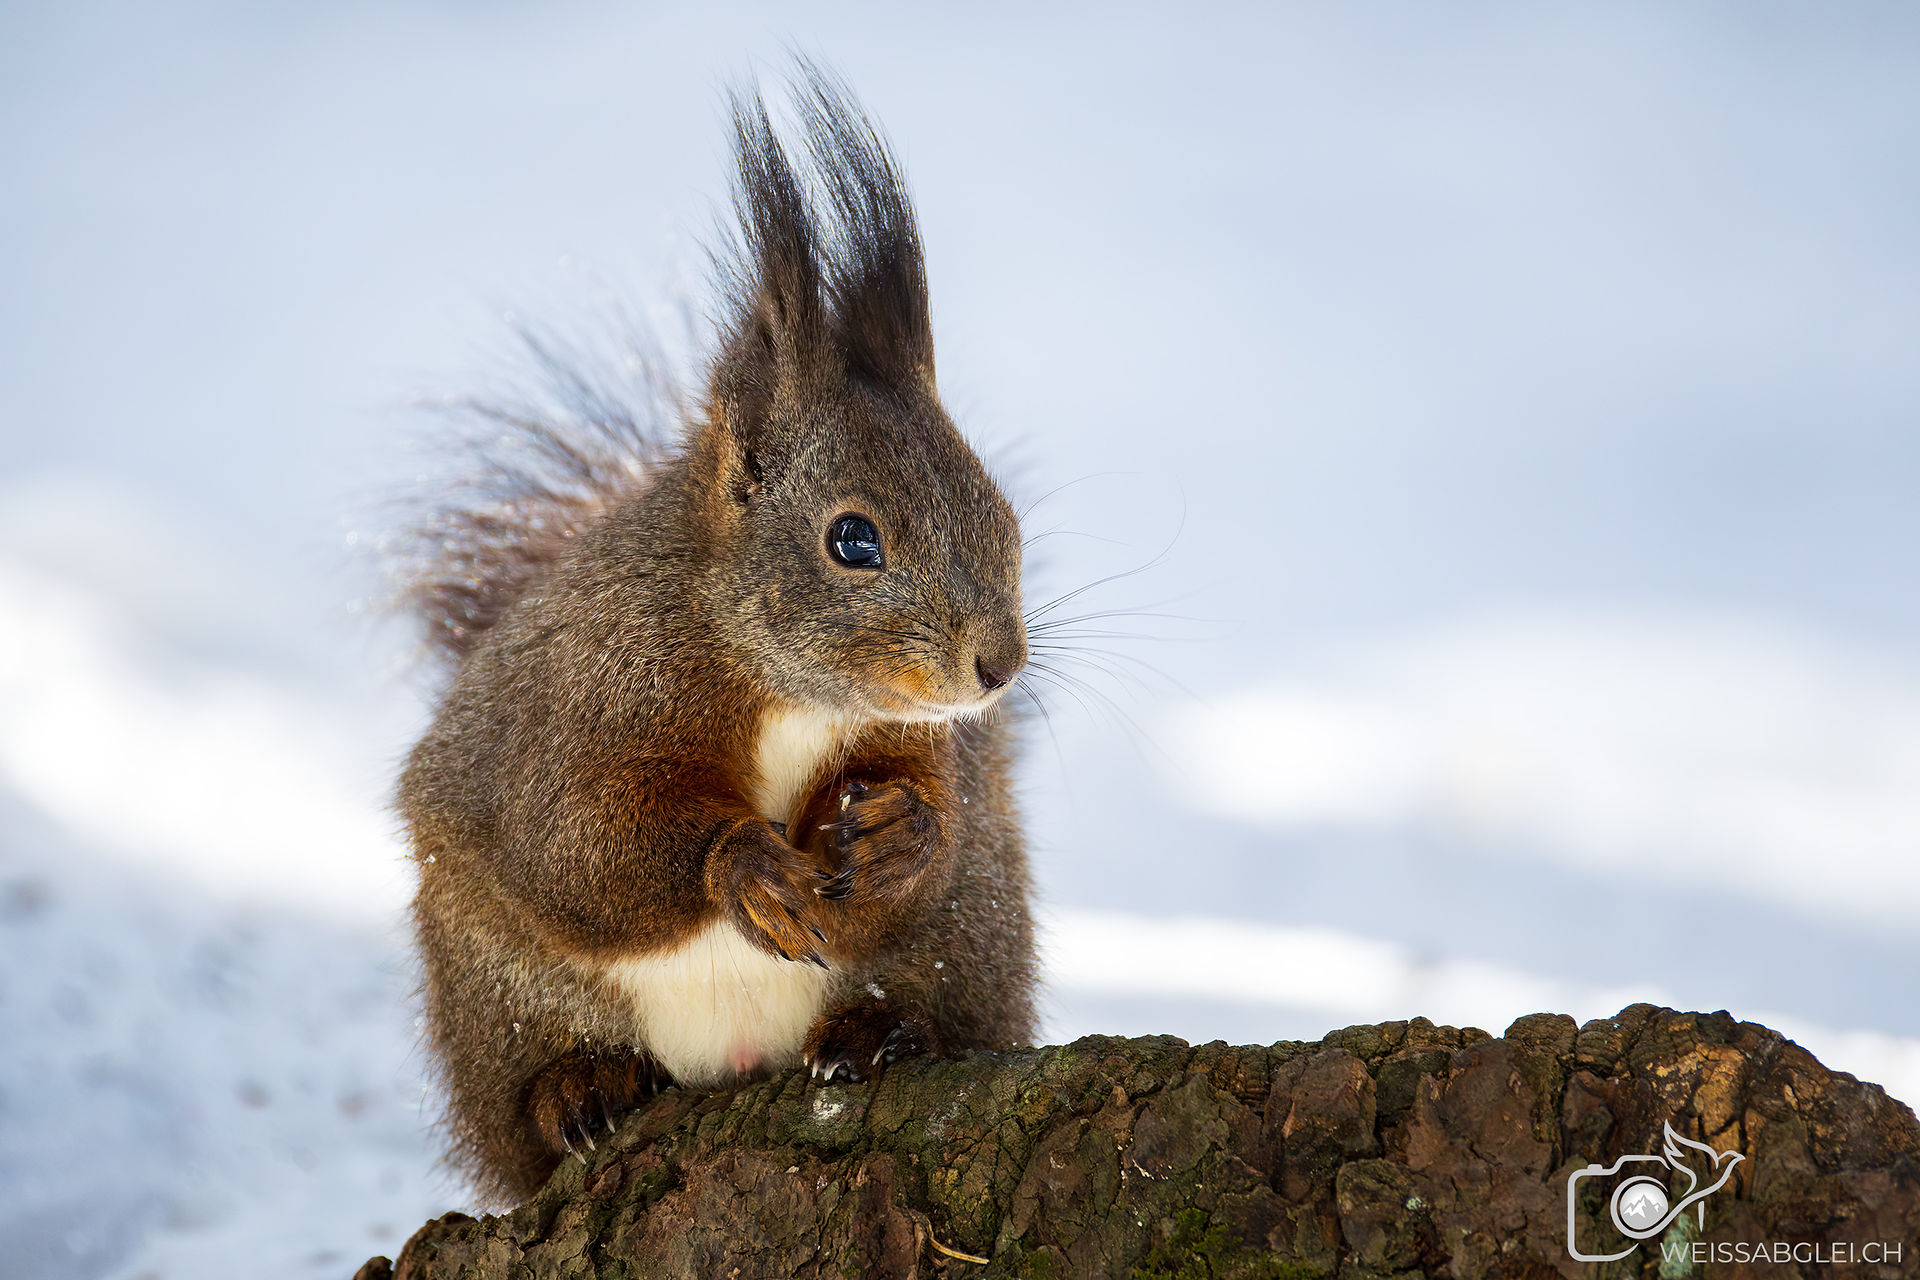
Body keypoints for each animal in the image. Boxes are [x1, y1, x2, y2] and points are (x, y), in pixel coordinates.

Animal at [390, 72, 1038, 1205]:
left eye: (1000, 511)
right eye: (853, 538)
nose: (999, 665)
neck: (788, 689)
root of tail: (735, 1061)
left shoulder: (924, 742)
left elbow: (934, 808)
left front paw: (901, 831)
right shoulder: (583, 701)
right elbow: (583, 842)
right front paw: (744, 866)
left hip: (977, 930)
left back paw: (879, 1031)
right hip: (490, 984)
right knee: (522, 1114)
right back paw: (577, 1084)